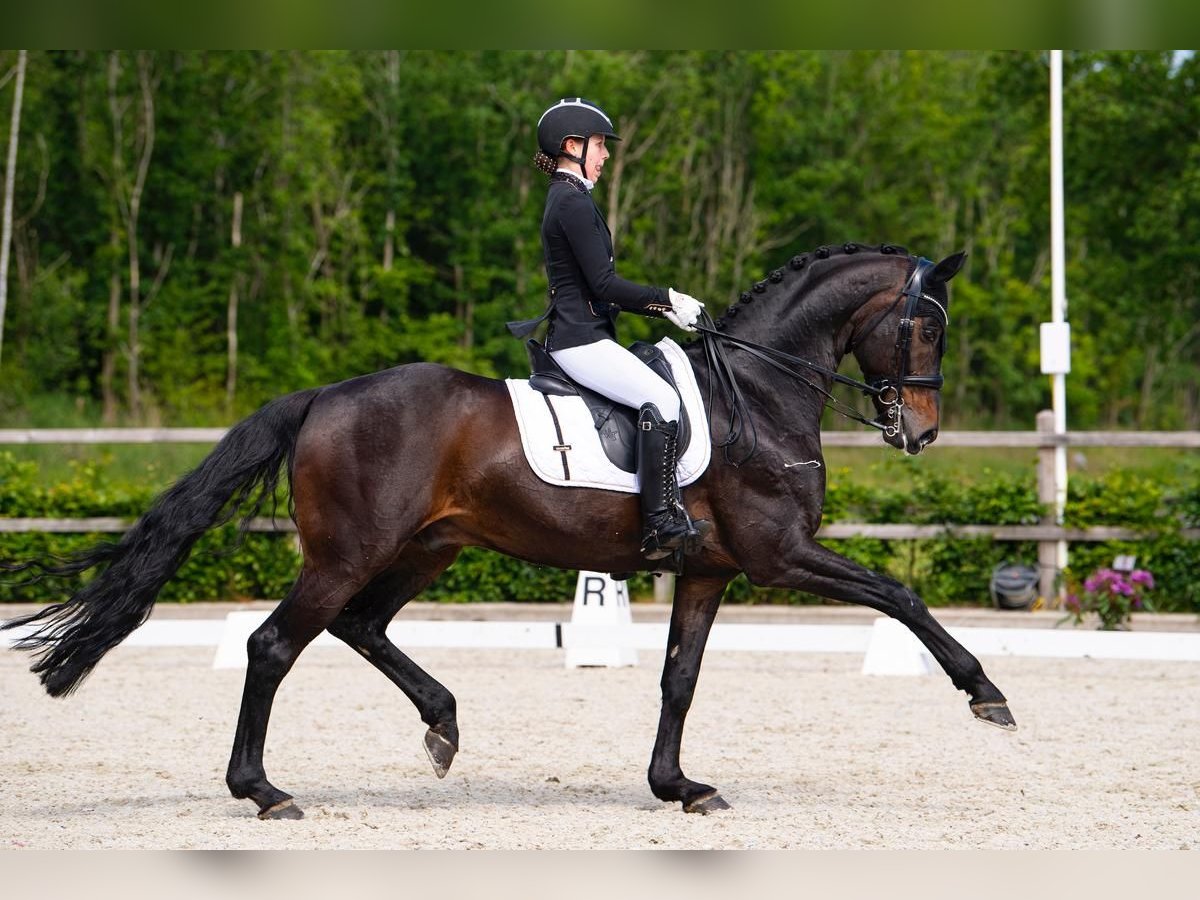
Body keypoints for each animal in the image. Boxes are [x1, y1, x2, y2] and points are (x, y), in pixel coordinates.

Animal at [2, 243, 1012, 820]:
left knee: (359, 627)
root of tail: (325, 395)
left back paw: (442, 726)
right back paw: (265, 792)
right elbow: (901, 594)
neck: (758, 394)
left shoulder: (711, 571)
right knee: (275, 644)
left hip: (426, 548)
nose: (920, 434)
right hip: (349, 552)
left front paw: (677, 787)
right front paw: (986, 694)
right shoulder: (781, 557)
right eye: (925, 327)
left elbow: (678, 679)